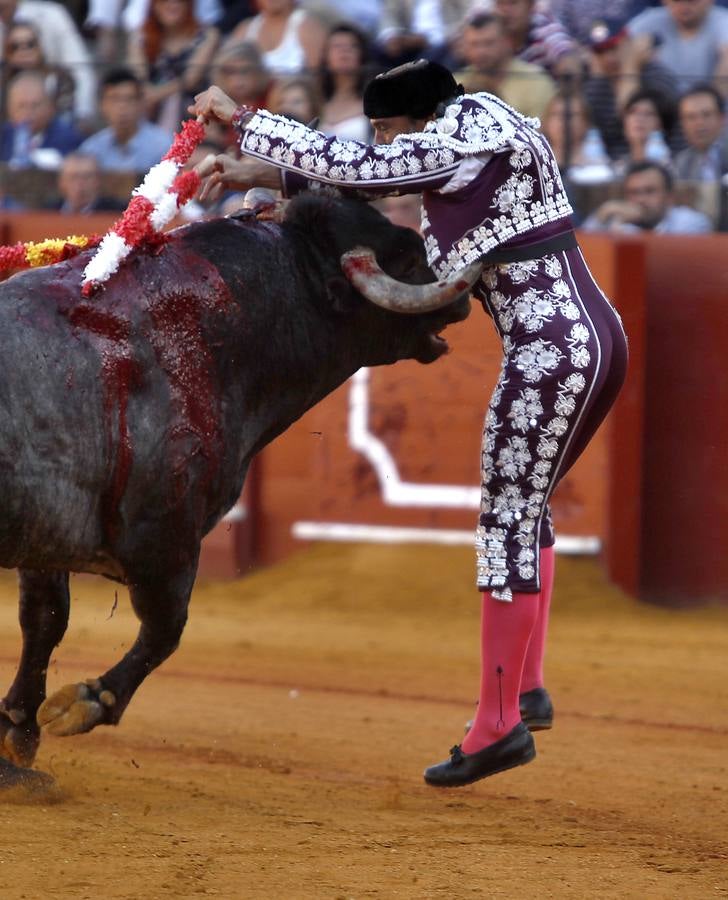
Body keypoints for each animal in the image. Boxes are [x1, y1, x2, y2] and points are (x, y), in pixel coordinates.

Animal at [0, 193, 478, 784]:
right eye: (408, 259)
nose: (464, 300)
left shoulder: (48, 532)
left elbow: (45, 620)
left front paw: (20, 734)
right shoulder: (164, 539)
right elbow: (165, 629)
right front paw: (85, 703)